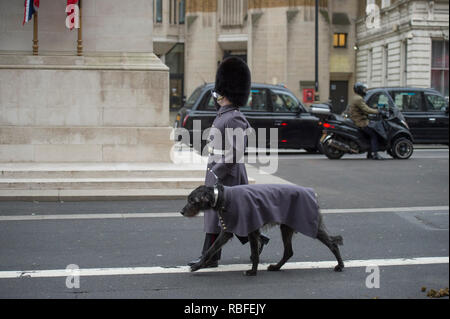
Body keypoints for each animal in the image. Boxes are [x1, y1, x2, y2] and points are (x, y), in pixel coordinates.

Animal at [179, 184, 344, 276]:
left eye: (192, 201)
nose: (181, 211)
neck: (221, 196)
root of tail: (312, 193)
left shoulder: (250, 229)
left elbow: (254, 253)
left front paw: (252, 272)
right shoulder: (228, 231)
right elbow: (210, 249)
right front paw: (198, 266)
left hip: (310, 224)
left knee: (332, 244)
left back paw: (340, 265)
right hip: (286, 227)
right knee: (288, 252)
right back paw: (276, 267)